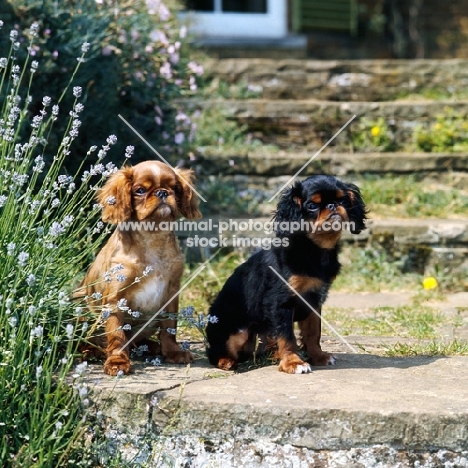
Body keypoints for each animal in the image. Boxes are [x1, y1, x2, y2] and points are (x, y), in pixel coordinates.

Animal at [79, 161, 200, 376]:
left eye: (175, 188)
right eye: (140, 190)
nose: (162, 192)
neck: (152, 236)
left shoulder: (171, 292)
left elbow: (169, 327)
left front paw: (173, 352)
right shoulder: (115, 299)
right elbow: (117, 334)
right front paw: (117, 362)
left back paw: (152, 347)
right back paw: (92, 351)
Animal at [207, 174, 368, 374]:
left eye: (343, 200)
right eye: (312, 206)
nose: (332, 206)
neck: (313, 248)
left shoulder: (314, 300)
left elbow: (313, 332)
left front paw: (318, 356)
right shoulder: (280, 302)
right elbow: (287, 336)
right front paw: (293, 362)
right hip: (238, 331)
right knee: (214, 351)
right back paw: (226, 361)